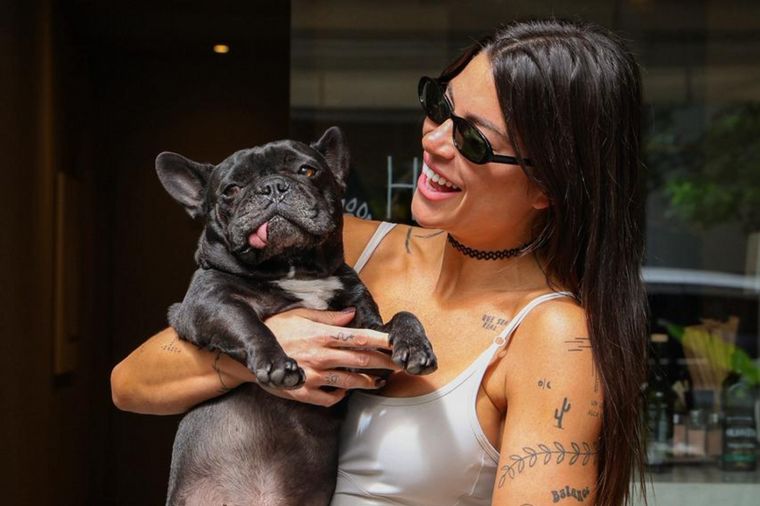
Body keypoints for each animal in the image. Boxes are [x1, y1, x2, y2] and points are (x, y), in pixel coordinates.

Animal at [156, 126, 437, 506]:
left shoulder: (367, 341)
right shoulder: (207, 305)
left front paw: (416, 346)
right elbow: (248, 322)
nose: (273, 186)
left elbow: (401, 317)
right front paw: (277, 363)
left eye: (307, 170)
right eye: (231, 189)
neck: (295, 271)